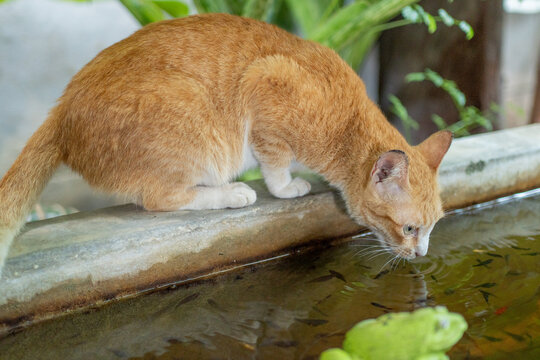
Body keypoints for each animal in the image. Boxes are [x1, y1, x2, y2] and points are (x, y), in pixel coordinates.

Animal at [0, 11, 452, 276]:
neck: (345, 123)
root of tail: (61, 111)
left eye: (432, 227)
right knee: (162, 199)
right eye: (409, 228)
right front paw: (287, 187)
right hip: (195, 122)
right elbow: (275, 166)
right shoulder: (265, 84)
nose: (422, 255)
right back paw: (231, 193)